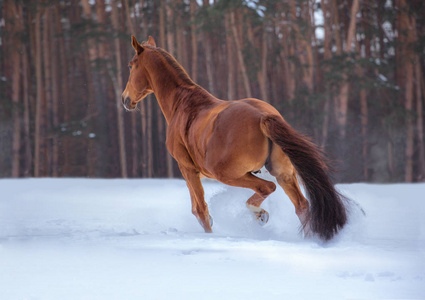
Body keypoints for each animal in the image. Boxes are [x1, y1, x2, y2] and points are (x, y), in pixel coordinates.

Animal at [121, 35, 346, 241]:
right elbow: (197, 209)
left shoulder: (188, 169)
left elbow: (200, 210)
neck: (182, 103)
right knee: (302, 206)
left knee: (267, 188)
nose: (125, 99)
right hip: (283, 173)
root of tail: (263, 116)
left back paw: (260, 214)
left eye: (131, 65)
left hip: (229, 174)